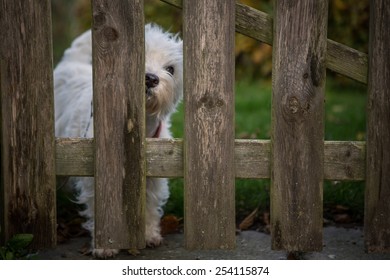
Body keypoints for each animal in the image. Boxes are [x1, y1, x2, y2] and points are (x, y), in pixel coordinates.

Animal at [54, 24, 184, 258]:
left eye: (171, 69)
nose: (150, 78)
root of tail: (69, 62)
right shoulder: (95, 177)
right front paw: (105, 246)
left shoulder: (155, 175)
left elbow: (150, 205)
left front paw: (149, 235)